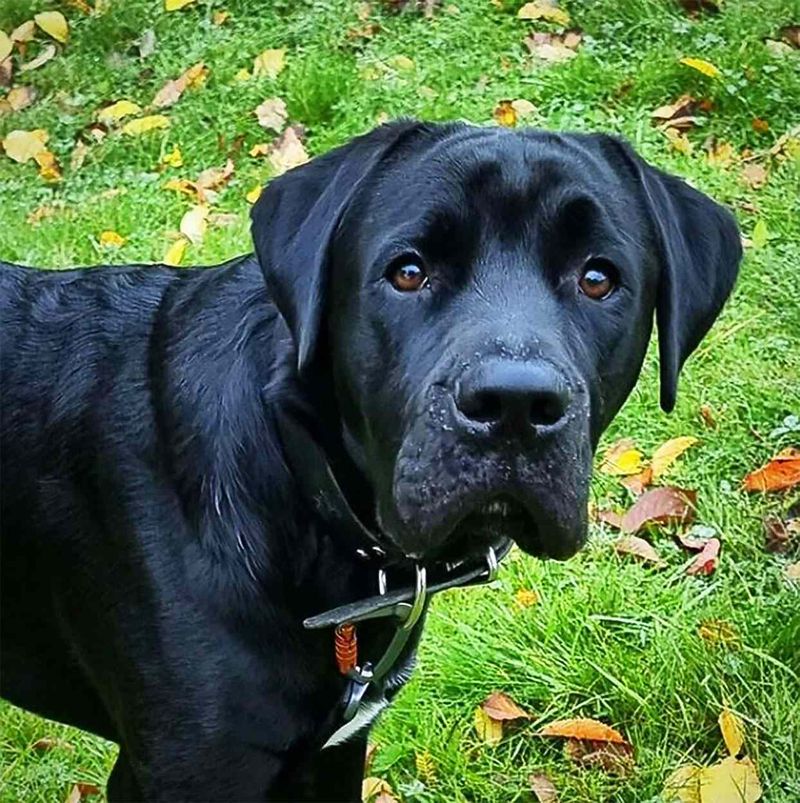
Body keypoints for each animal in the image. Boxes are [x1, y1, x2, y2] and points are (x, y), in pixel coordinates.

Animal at [0, 121, 736, 803]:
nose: (514, 405)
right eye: (408, 272)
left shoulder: (329, 754)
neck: (300, 494)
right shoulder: (185, 771)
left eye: (598, 278)